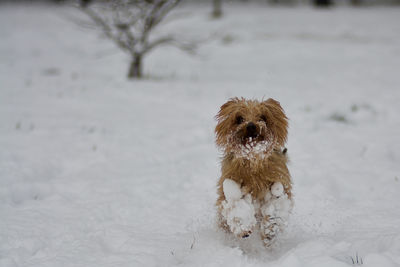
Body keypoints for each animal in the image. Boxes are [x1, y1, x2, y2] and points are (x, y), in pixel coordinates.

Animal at [216, 97, 294, 248]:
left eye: (263, 117)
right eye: (239, 118)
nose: (251, 126)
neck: (253, 158)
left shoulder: (280, 182)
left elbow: (276, 205)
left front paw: (270, 229)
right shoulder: (229, 183)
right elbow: (235, 204)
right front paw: (243, 226)